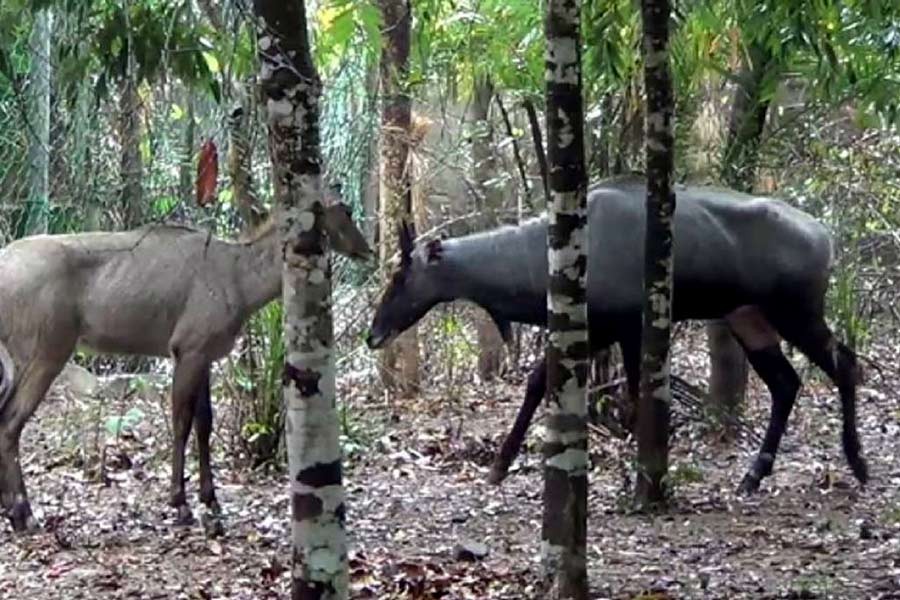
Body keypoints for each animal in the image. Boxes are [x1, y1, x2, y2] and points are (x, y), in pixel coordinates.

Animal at [0, 204, 370, 532]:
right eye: (345, 210)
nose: (367, 249)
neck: (238, 279)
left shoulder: (203, 355)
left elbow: (204, 423)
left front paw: (211, 500)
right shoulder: (187, 350)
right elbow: (181, 422)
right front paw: (180, 504)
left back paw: (11, 510)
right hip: (45, 351)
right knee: (10, 421)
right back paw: (24, 514)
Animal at [370, 176, 868, 494]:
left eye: (400, 276)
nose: (373, 335)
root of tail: (826, 237)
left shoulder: (624, 326)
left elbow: (632, 392)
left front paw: (642, 473)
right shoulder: (598, 328)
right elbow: (538, 382)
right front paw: (498, 466)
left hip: (797, 311)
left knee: (845, 363)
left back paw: (858, 463)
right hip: (749, 318)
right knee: (786, 383)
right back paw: (752, 477)